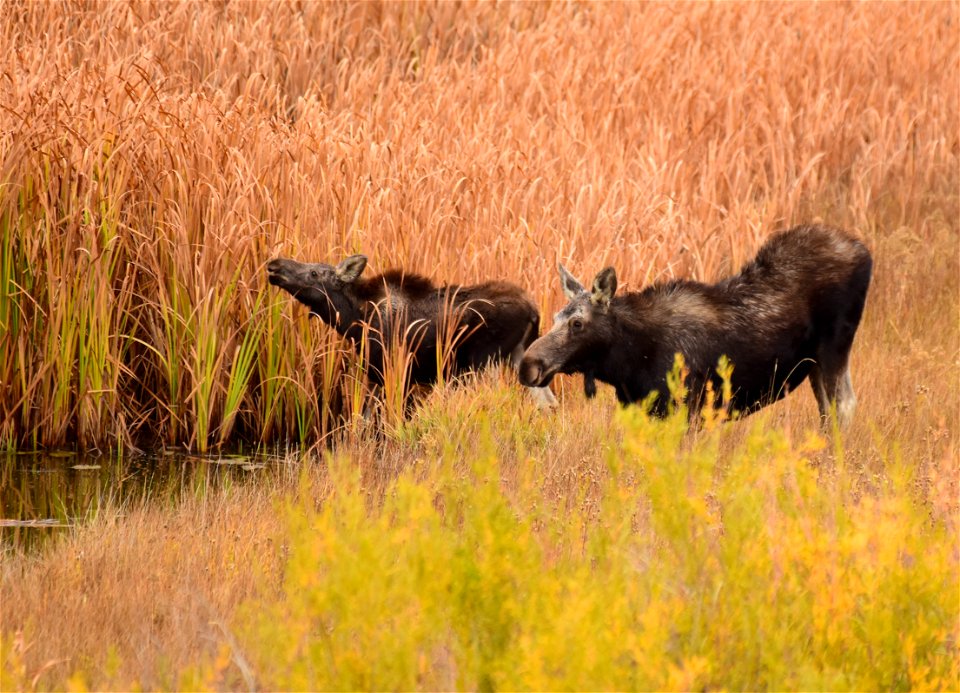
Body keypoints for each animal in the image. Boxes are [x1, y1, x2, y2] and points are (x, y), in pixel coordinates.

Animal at [266, 254, 560, 406]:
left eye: (314, 273)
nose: (274, 265)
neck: (355, 319)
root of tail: (534, 310)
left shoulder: (394, 372)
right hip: (519, 358)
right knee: (549, 404)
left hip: (484, 362)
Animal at [520, 224, 872, 424]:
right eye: (555, 317)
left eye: (577, 323)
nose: (528, 365)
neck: (627, 359)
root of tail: (864, 251)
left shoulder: (687, 407)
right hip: (813, 361)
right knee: (828, 410)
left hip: (835, 347)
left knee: (845, 404)